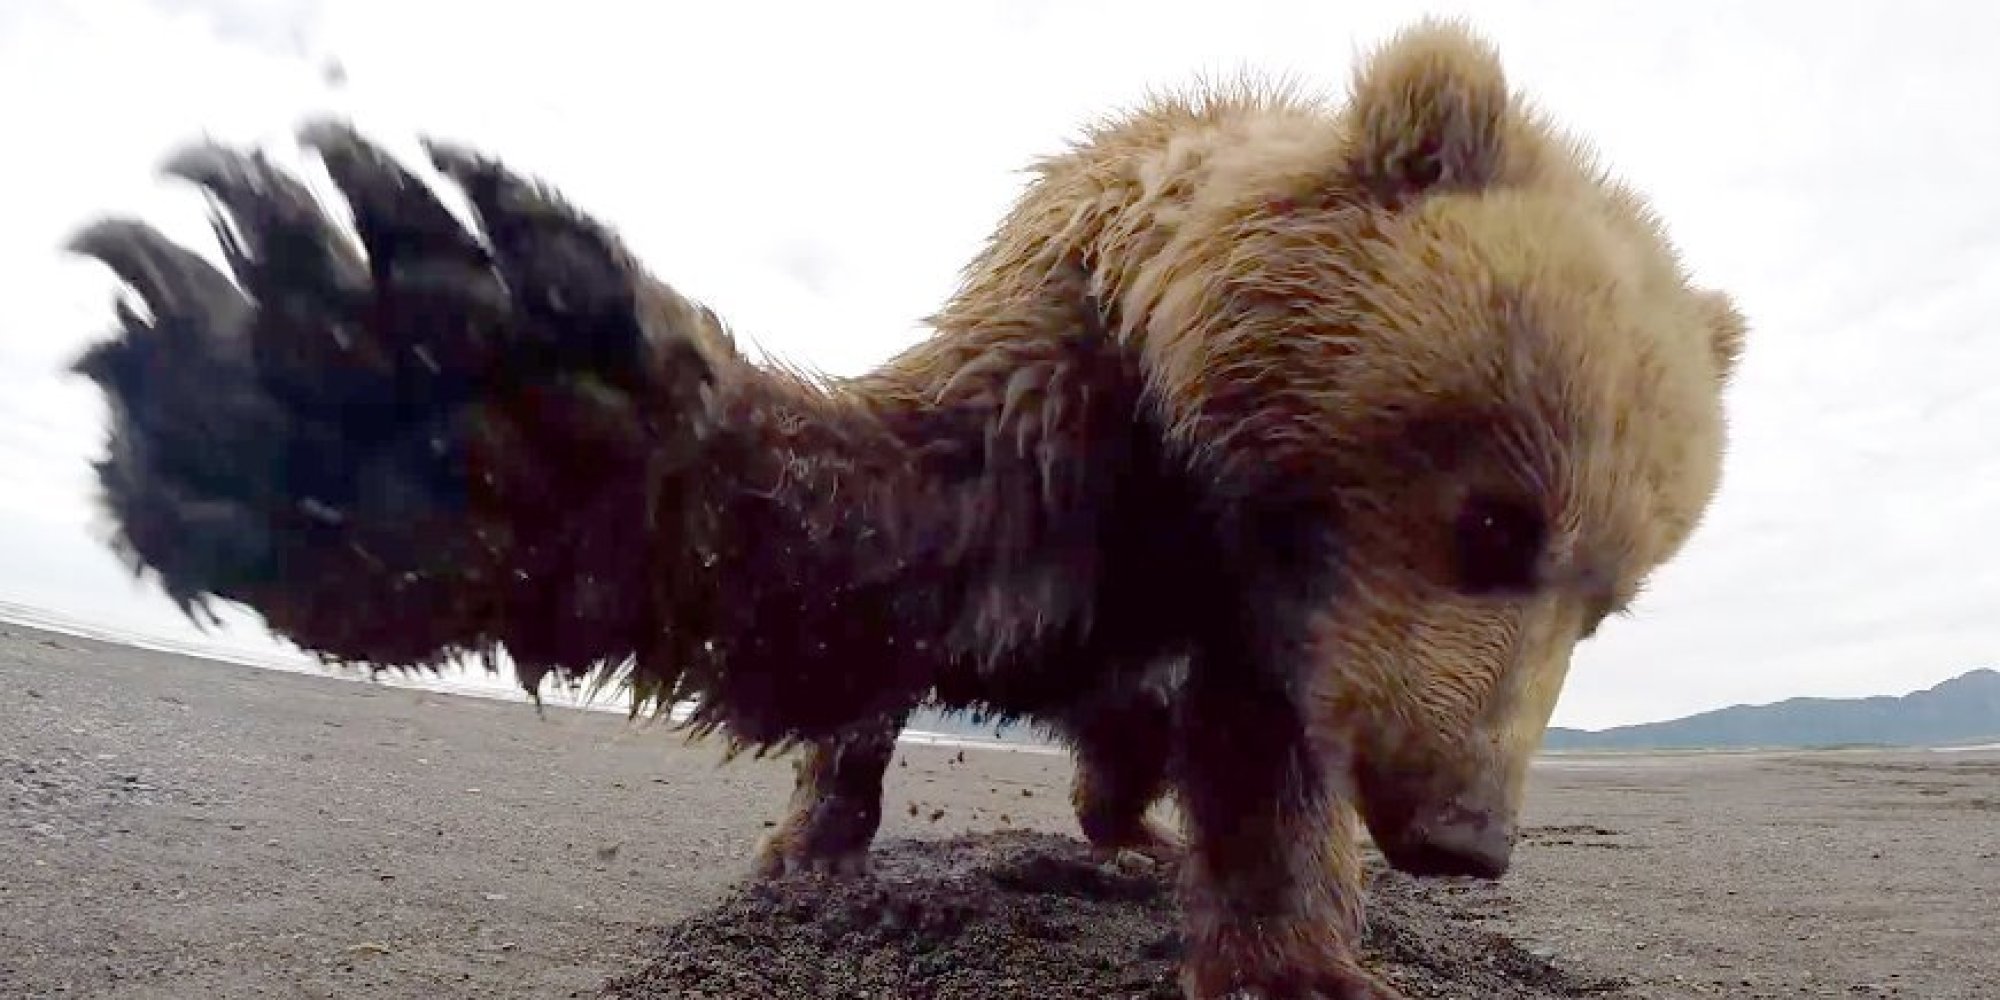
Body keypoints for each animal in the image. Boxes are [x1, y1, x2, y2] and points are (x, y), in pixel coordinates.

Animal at [66, 17, 1736, 1000]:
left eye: (1612, 603)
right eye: (1496, 522)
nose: (1467, 836)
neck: (1201, 467)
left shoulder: (1272, 615)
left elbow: (1270, 761)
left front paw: (1295, 959)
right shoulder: (1065, 402)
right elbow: (847, 546)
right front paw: (390, 383)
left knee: (1127, 732)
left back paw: (1121, 820)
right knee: (868, 718)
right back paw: (826, 837)